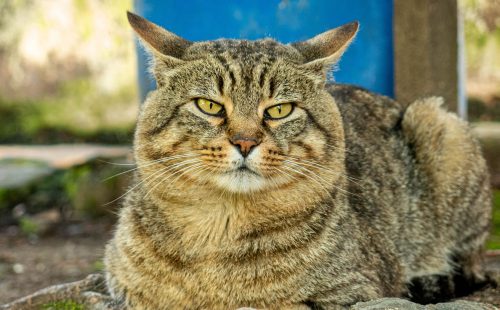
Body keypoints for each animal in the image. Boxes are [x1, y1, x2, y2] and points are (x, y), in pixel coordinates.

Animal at [102, 10, 492, 308]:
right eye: (209, 105)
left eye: (280, 110)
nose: (245, 141)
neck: (218, 231)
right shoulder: (122, 289)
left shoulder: (355, 291)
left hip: (440, 126)